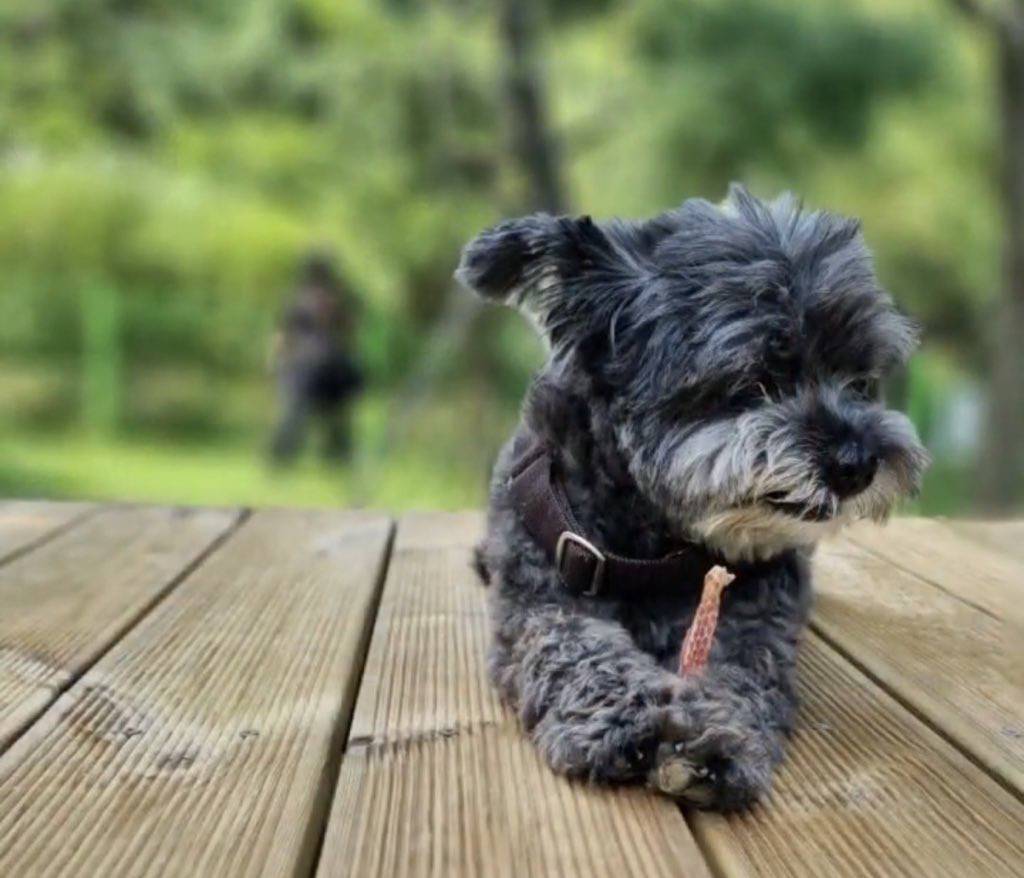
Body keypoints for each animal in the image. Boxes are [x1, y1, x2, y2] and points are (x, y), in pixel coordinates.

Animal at [456, 185, 929, 807]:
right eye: (754, 381)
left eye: (859, 381)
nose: (858, 463)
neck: (654, 547)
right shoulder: (543, 604)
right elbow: (577, 649)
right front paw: (627, 719)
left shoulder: (753, 619)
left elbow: (741, 673)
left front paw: (714, 736)